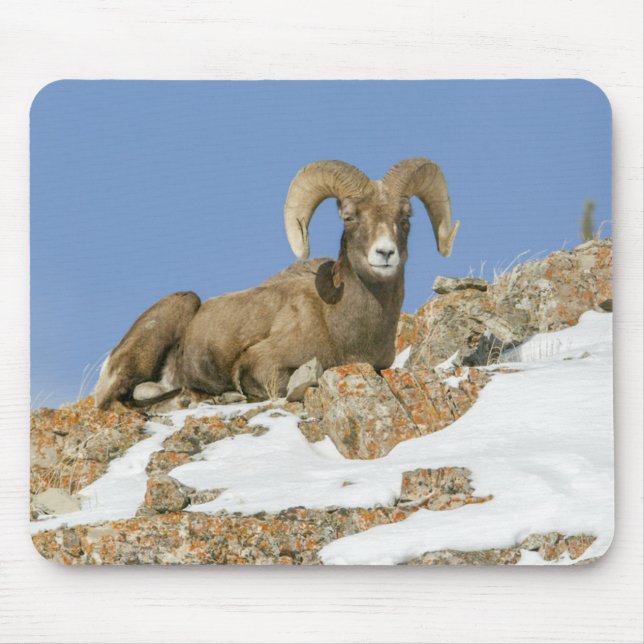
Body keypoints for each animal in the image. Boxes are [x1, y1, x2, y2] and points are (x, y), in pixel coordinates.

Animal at [94, 158, 460, 409]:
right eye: (349, 217)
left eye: (405, 218)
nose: (385, 253)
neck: (340, 324)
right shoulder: (263, 364)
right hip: (179, 307)